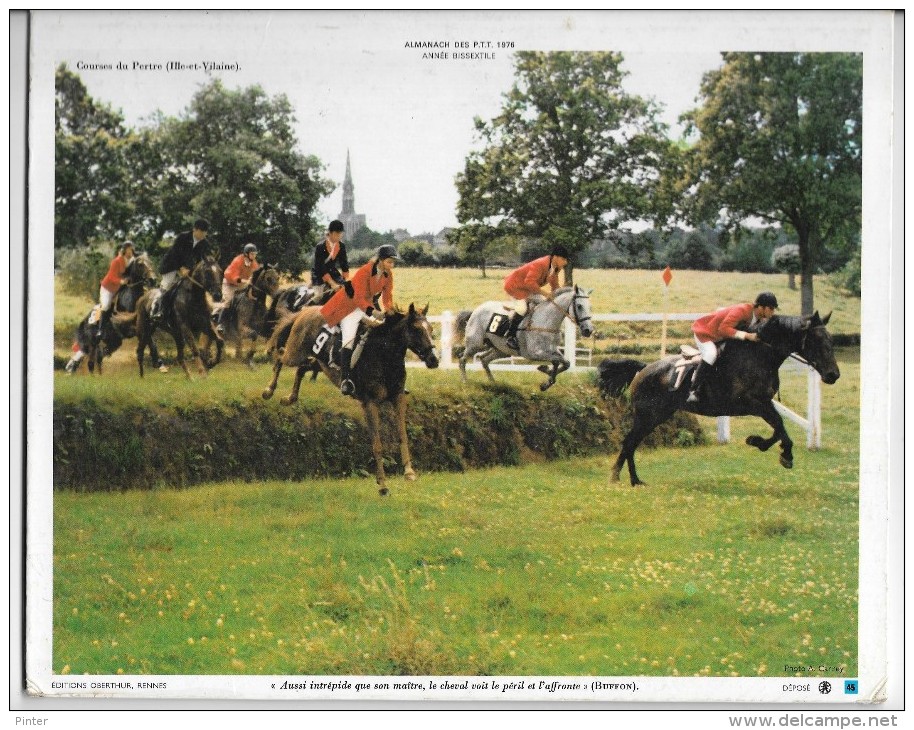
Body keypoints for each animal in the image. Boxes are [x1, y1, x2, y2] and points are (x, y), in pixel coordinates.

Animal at [262, 302, 440, 494]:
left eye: (430, 329)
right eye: (416, 329)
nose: (434, 360)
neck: (384, 356)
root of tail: (307, 310)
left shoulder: (398, 397)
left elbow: (403, 435)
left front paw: (409, 472)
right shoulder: (370, 403)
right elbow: (377, 444)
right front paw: (383, 484)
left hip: (319, 363)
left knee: (301, 369)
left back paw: (289, 398)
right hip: (295, 352)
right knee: (280, 356)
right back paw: (268, 390)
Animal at [456, 284, 600, 390]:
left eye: (590, 307)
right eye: (579, 306)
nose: (588, 330)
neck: (547, 322)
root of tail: (476, 310)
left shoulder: (553, 349)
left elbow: (565, 362)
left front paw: (547, 378)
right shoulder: (534, 353)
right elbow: (556, 360)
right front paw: (545, 372)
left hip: (501, 350)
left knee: (484, 359)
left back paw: (493, 382)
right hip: (476, 344)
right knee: (462, 358)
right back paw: (464, 381)